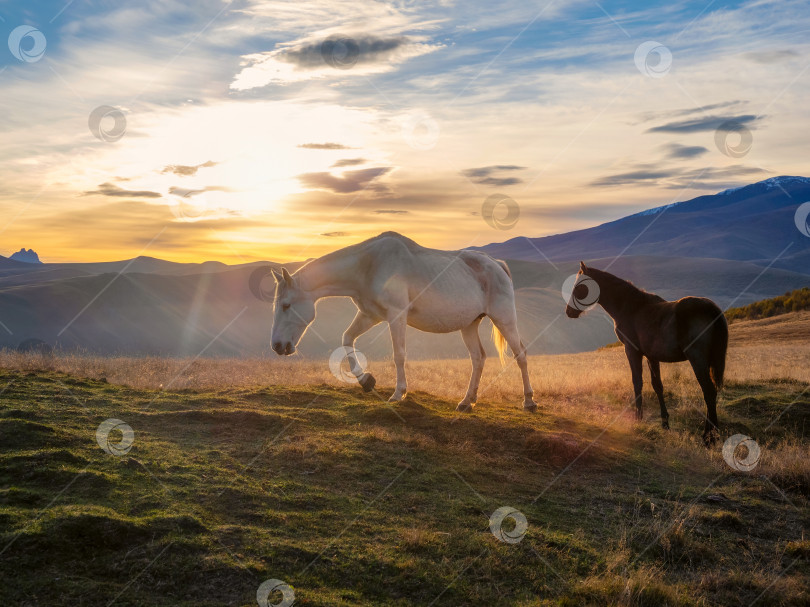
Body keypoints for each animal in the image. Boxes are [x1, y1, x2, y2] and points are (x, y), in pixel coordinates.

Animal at [270, 233, 536, 414]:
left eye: (286, 305)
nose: (277, 346)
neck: (368, 265)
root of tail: (497, 264)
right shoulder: (370, 315)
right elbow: (346, 339)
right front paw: (366, 381)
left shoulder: (396, 316)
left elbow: (398, 355)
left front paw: (399, 393)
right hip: (469, 324)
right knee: (478, 358)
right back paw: (466, 401)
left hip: (504, 318)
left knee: (520, 354)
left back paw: (529, 401)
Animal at [564, 262, 728, 446]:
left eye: (580, 286)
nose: (569, 311)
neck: (631, 307)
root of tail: (711, 309)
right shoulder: (652, 356)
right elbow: (658, 386)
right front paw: (665, 423)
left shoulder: (632, 351)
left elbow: (637, 383)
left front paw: (638, 418)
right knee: (710, 392)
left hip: (697, 360)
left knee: (709, 392)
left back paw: (709, 437)